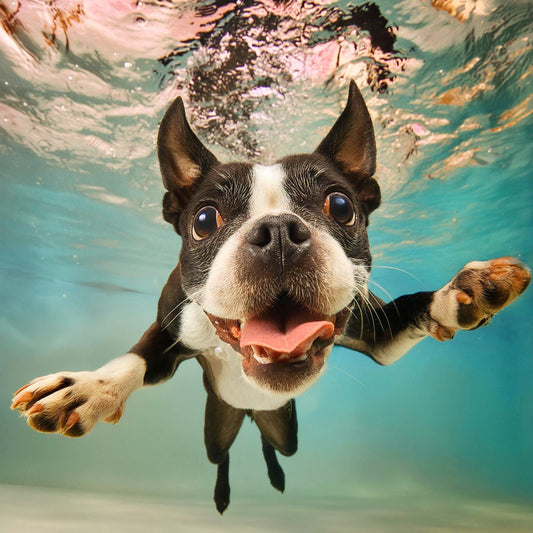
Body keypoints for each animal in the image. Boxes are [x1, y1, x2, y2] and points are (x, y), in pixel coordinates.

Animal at [11, 80, 528, 512]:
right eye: (205, 220)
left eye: (341, 205)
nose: (278, 231)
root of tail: (246, 407)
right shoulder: (170, 327)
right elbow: (134, 359)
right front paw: (88, 388)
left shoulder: (378, 334)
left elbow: (416, 305)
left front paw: (462, 290)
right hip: (215, 429)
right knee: (222, 455)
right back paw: (222, 495)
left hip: (284, 429)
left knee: (269, 442)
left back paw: (276, 476)